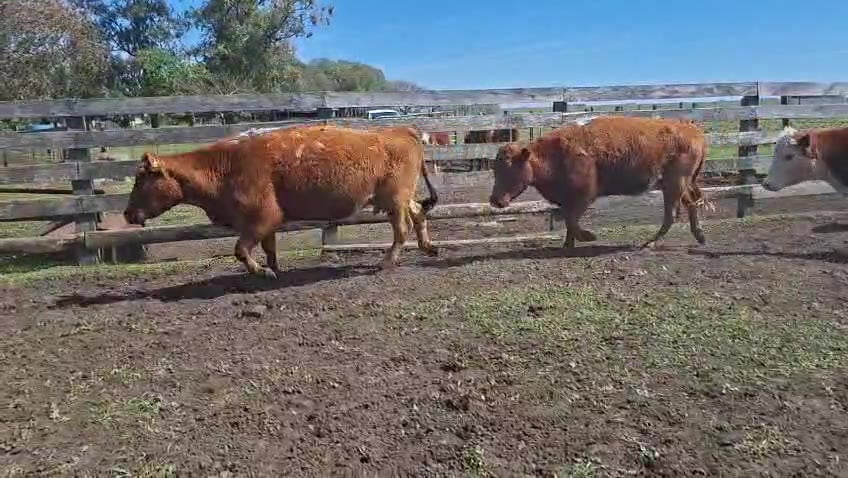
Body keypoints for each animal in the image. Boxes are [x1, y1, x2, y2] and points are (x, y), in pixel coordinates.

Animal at [123, 125, 439, 277]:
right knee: (418, 213)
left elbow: (240, 250)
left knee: (402, 229)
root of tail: (401, 130)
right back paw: (428, 247)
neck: (226, 166)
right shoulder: (266, 224)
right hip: (400, 199)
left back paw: (388, 261)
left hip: (395, 200)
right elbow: (269, 248)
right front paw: (273, 268)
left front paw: (262, 272)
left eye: (141, 180)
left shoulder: (261, 219)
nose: (127, 214)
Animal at [488, 116, 708, 249]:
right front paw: (568, 244)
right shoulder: (568, 200)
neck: (552, 154)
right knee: (691, 204)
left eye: (511, 169)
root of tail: (693, 130)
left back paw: (649, 243)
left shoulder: (584, 196)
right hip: (679, 185)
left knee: (672, 214)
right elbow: (568, 220)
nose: (495, 200)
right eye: (495, 169)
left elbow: (571, 220)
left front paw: (588, 237)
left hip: (674, 185)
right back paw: (699, 237)